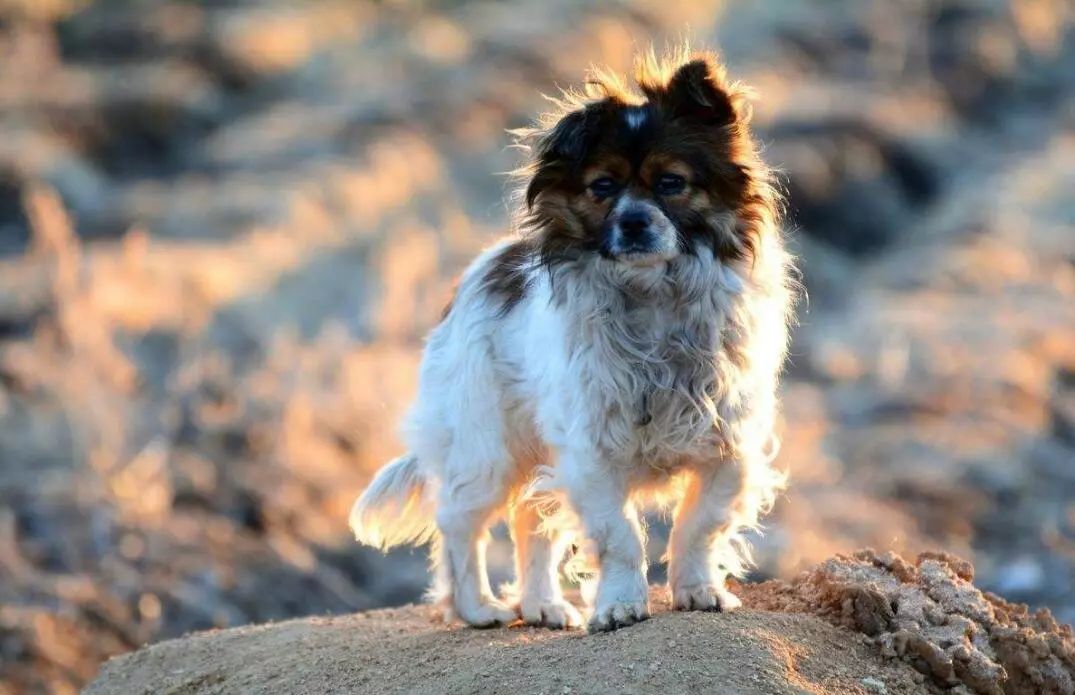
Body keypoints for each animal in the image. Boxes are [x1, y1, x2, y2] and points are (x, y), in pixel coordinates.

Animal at [348, 47, 795, 635]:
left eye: (670, 183)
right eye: (602, 188)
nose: (633, 223)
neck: (653, 296)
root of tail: (475, 278)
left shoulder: (728, 447)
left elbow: (699, 526)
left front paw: (698, 590)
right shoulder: (591, 454)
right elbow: (620, 538)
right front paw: (620, 606)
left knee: (529, 524)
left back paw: (544, 607)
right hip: (486, 450)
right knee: (460, 525)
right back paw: (478, 608)